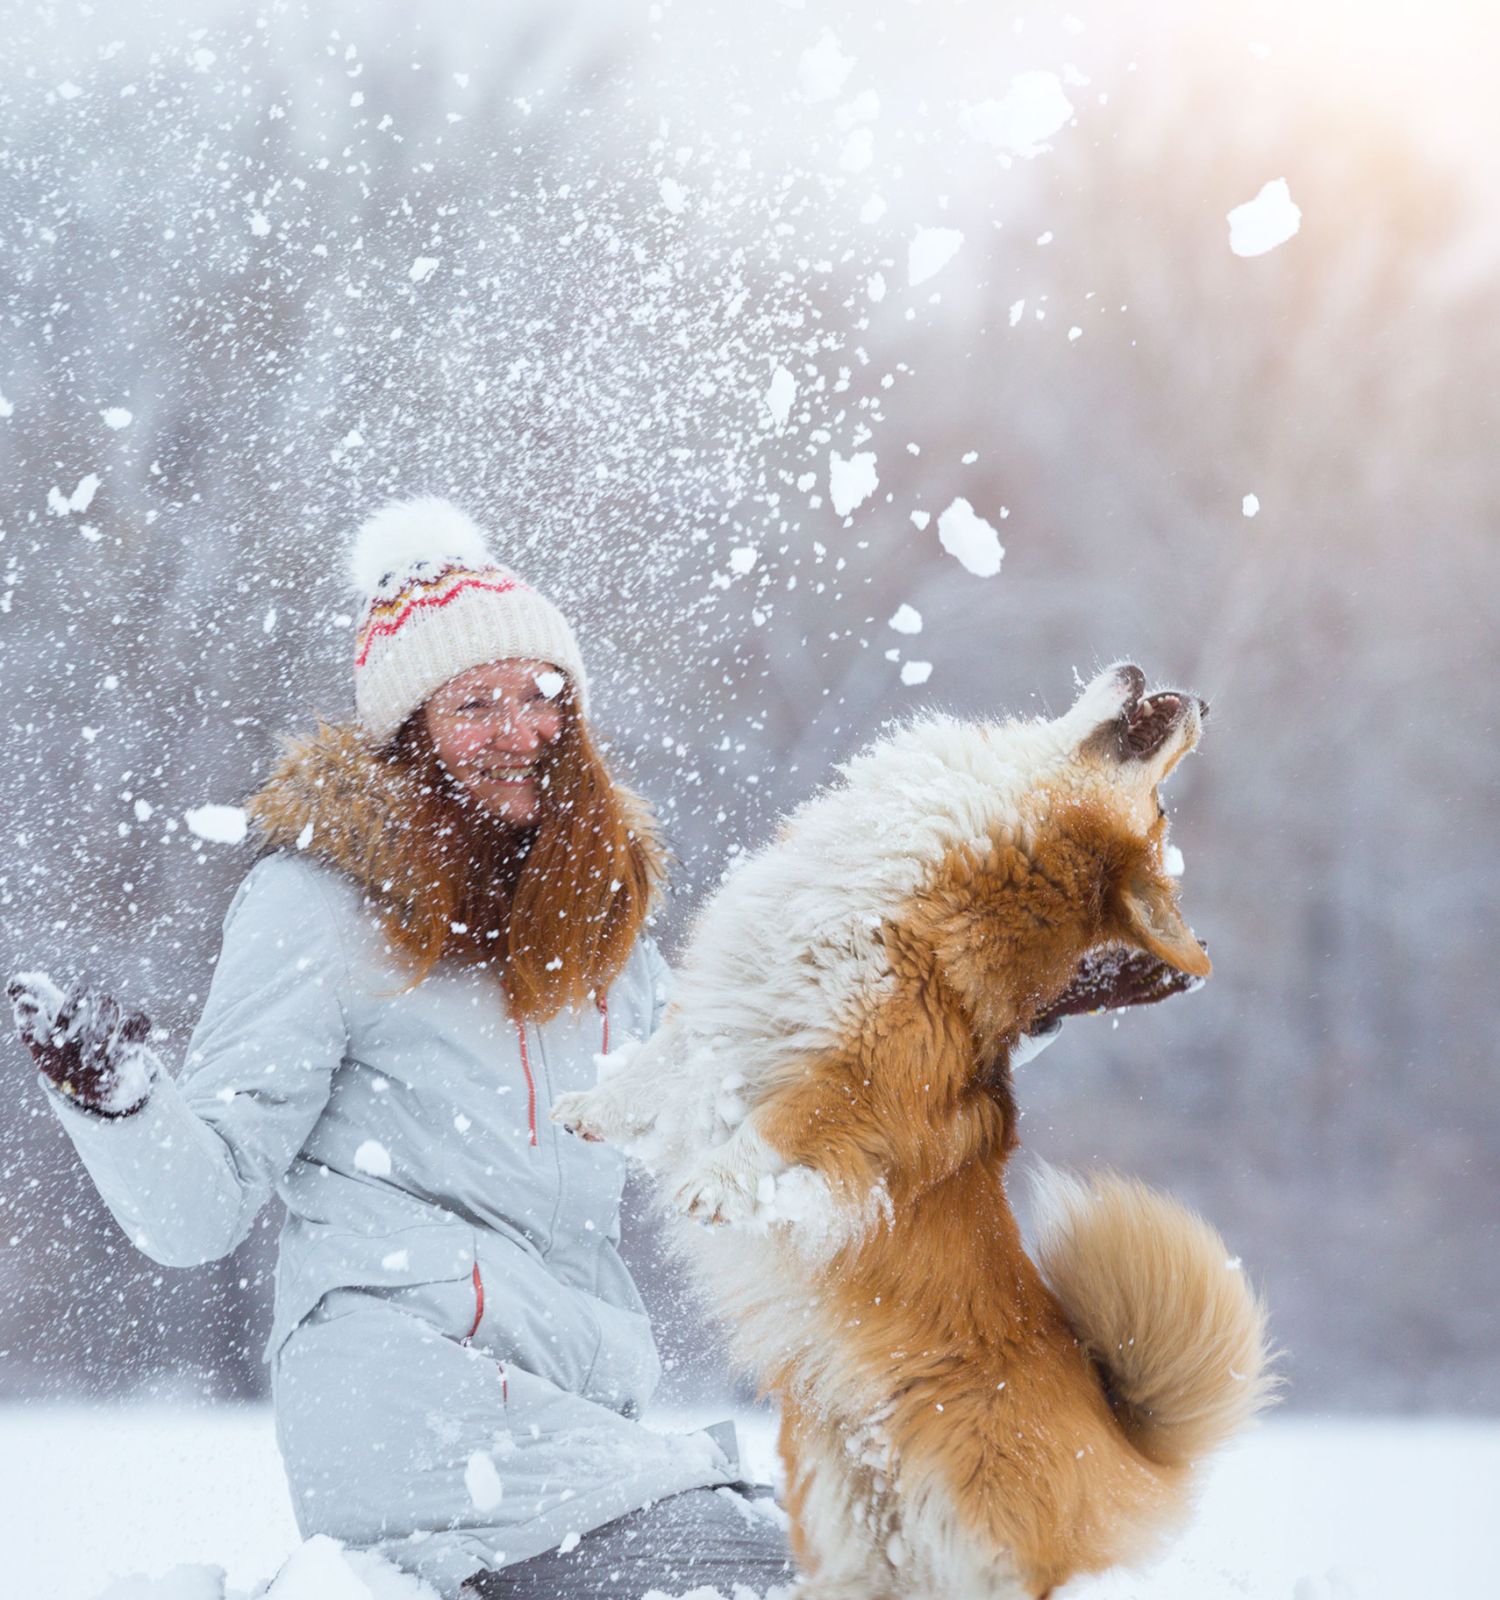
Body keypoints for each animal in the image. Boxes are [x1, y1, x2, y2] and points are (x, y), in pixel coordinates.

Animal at [556, 662, 1266, 1600]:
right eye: (1167, 810)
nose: (1202, 701)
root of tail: (1131, 1448)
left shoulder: (867, 1077)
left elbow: (783, 1127)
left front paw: (713, 1184)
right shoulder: (733, 1014)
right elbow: (656, 1071)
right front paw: (585, 1112)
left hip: (988, 1542)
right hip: (843, 1528)